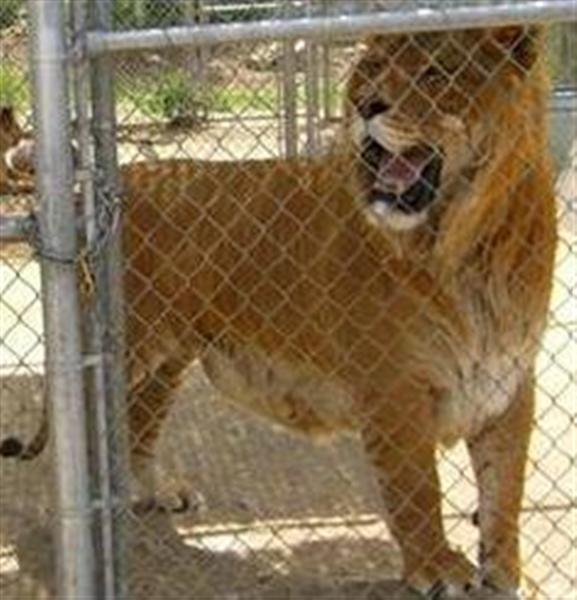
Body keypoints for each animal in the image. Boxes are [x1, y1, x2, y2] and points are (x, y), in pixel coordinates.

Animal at [1, 25, 560, 596]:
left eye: (438, 72)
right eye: (374, 68)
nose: (365, 104)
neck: (470, 245)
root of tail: (114, 187)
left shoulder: (507, 379)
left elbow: (505, 489)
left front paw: (504, 571)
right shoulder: (393, 387)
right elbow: (416, 488)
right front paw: (438, 568)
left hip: (167, 359)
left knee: (138, 423)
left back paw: (156, 492)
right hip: (122, 347)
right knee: (79, 427)